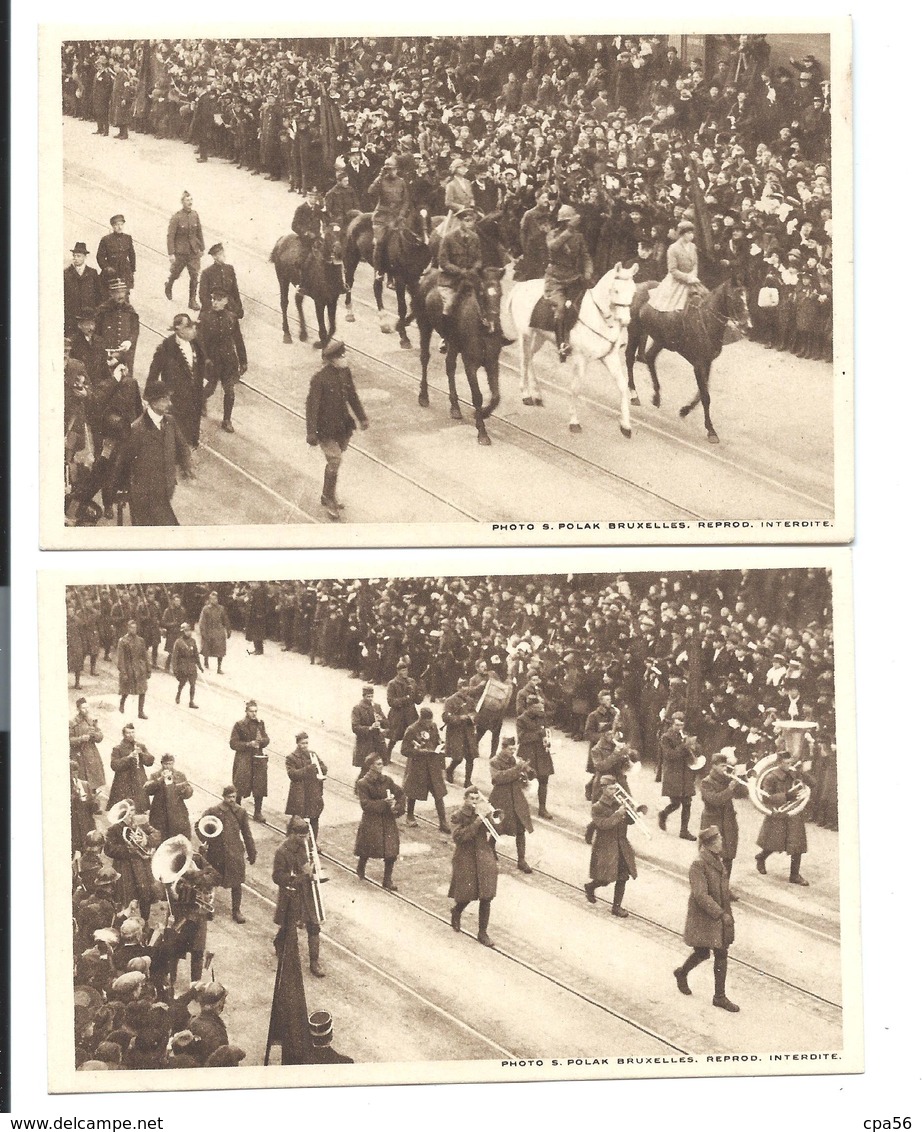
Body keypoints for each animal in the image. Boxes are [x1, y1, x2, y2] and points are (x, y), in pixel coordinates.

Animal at [416, 266, 509, 446]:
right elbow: (477, 396)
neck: (482, 330)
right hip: (425, 325)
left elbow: (496, 396)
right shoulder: (470, 364)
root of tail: (430, 273)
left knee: (450, 366)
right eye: (481, 293)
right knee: (425, 358)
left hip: (453, 343)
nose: (493, 324)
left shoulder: (492, 363)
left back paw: (455, 407)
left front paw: (484, 413)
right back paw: (423, 396)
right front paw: (482, 432)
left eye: (500, 293)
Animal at [502, 264, 638, 436]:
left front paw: (625, 425)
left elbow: (622, 387)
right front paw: (574, 421)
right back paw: (526, 394)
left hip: (540, 336)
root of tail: (520, 287)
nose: (626, 321)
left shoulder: (610, 358)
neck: (600, 318)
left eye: (633, 291)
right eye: (616, 290)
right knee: (524, 360)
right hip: (525, 335)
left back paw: (537, 394)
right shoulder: (581, 359)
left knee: (530, 358)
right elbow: (575, 389)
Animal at [625, 276, 756, 443]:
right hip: (635, 330)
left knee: (649, 357)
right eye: (735, 299)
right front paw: (711, 430)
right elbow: (705, 396)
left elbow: (702, 392)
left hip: (660, 339)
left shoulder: (707, 362)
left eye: (747, 298)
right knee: (629, 358)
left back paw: (656, 397)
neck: (706, 319)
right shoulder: (699, 364)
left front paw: (685, 410)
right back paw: (634, 394)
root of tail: (638, 285)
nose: (748, 326)